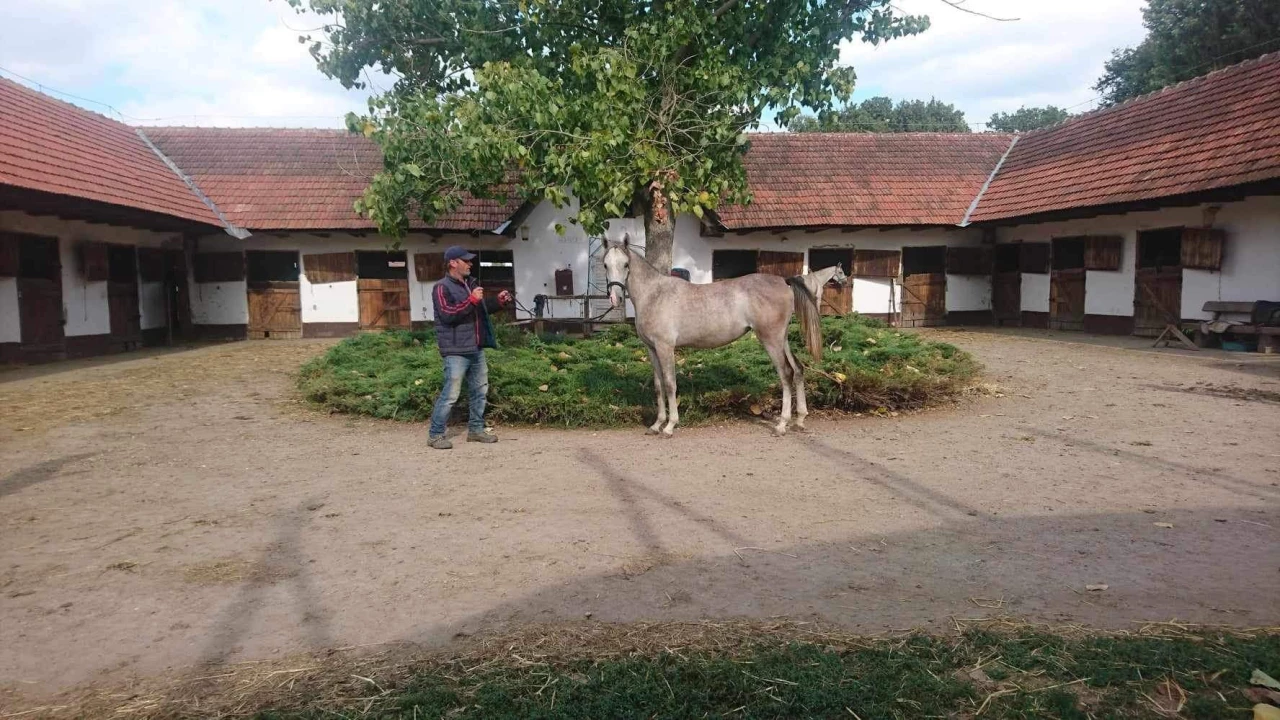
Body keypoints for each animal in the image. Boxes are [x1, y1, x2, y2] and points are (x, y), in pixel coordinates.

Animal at [601, 234, 844, 438]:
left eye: (625, 264)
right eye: (605, 264)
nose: (615, 298)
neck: (654, 294)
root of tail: (783, 281)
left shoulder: (665, 347)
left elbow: (670, 384)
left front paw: (669, 426)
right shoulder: (652, 349)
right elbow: (659, 385)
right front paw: (656, 424)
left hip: (770, 340)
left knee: (785, 374)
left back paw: (782, 424)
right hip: (781, 339)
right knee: (798, 369)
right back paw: (799, 420)